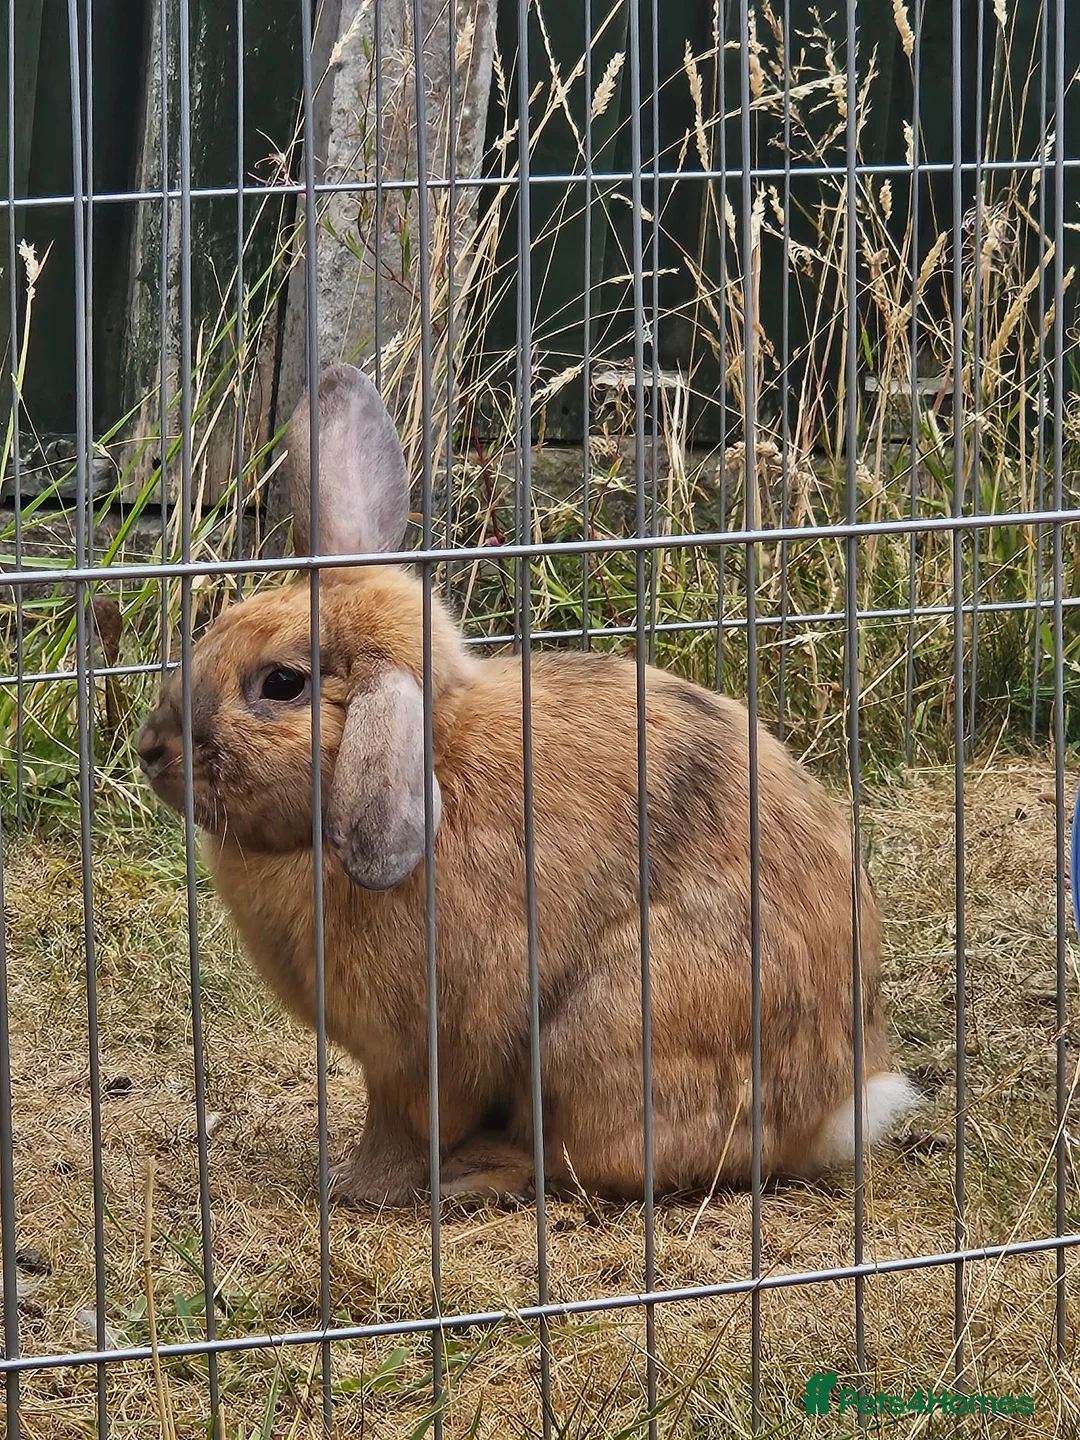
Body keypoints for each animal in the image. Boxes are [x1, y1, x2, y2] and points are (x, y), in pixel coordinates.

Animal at [136, 363, 920, 1208]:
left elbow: (402, 1128)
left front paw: (353, 1187)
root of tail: (836, 1108)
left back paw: (477, 1173)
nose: (152, 748)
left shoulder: (420, 1057)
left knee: (594, 1161)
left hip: (605, 1037)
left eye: (282, 683)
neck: (430, 756)